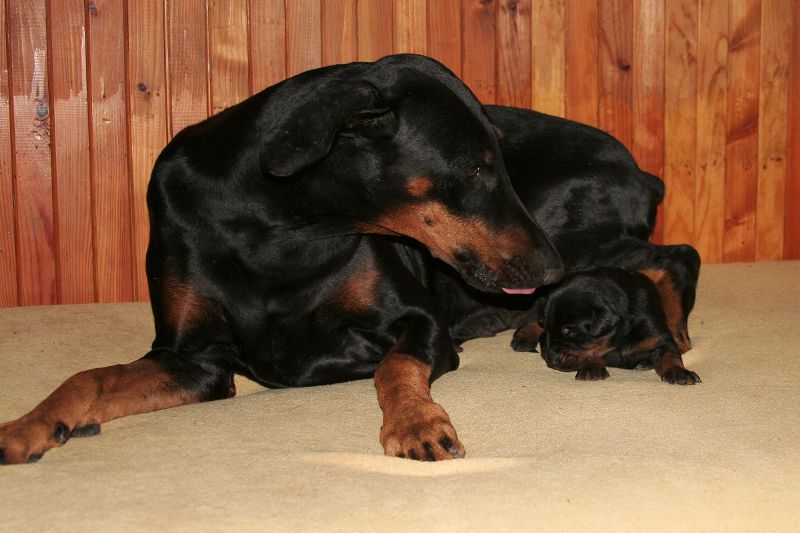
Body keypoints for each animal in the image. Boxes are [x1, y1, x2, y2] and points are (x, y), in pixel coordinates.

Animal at [511, 267, 701, 384]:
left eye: (570, 331)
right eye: (550, 329)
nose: (551, 359)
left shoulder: (658, 336)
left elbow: (670, 355)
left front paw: (678, 372)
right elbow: (592, 352)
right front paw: (592, 368)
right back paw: (524, 336)